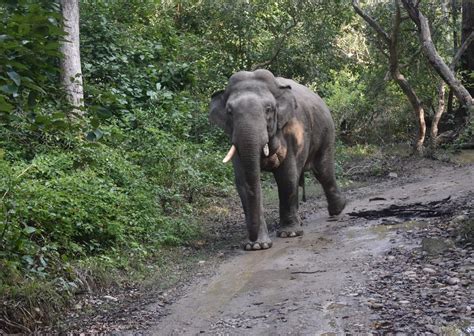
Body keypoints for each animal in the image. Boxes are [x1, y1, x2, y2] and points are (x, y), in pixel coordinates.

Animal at [209, 69, 346, 251]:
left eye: (268, 109)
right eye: (229, 111)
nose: (251, 238)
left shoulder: (292, 130)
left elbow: (286, 176)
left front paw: (290, 234)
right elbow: (244, 182)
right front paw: (256, 246)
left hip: (327, 132)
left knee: (323, 170)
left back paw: (338, 209)